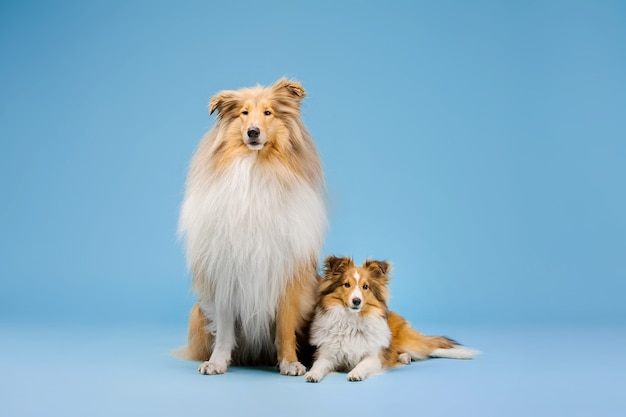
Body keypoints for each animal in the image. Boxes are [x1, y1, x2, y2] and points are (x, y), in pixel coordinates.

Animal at [174, 78, 324, 374]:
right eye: (243, 113)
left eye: (268, 113)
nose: (253, 132)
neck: (256, 168)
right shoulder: (225, 272)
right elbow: (224, 328)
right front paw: (216, 362)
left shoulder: (287, 274)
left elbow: (285, 327)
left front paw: (290, 363)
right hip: (198, 312)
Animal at [302, 255, 472, 382]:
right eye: (346, 284)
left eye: (365, 287)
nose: (356, 301)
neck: (352, 320)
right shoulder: (327, 354)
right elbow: (319, 365)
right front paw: (312, 374)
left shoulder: (373, 356)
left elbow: (362, 365)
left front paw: (355, 373)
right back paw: (404, 358)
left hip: (408, 342)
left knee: (431, 348)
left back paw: (465, 353)